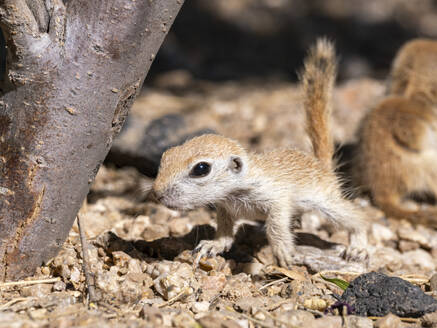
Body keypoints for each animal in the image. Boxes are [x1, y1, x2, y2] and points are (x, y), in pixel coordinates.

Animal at [152, 39, 366, 268]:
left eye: (201, 168)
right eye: (166, 156)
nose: (156, 193)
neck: (235, 191)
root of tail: (321, 164)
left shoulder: (277, 197)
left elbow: (276, 224)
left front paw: (282, 251)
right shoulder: (225, 207)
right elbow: (225, 229)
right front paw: (214, 244)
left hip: (327, 200)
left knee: (356, 217)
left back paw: (358, 247)